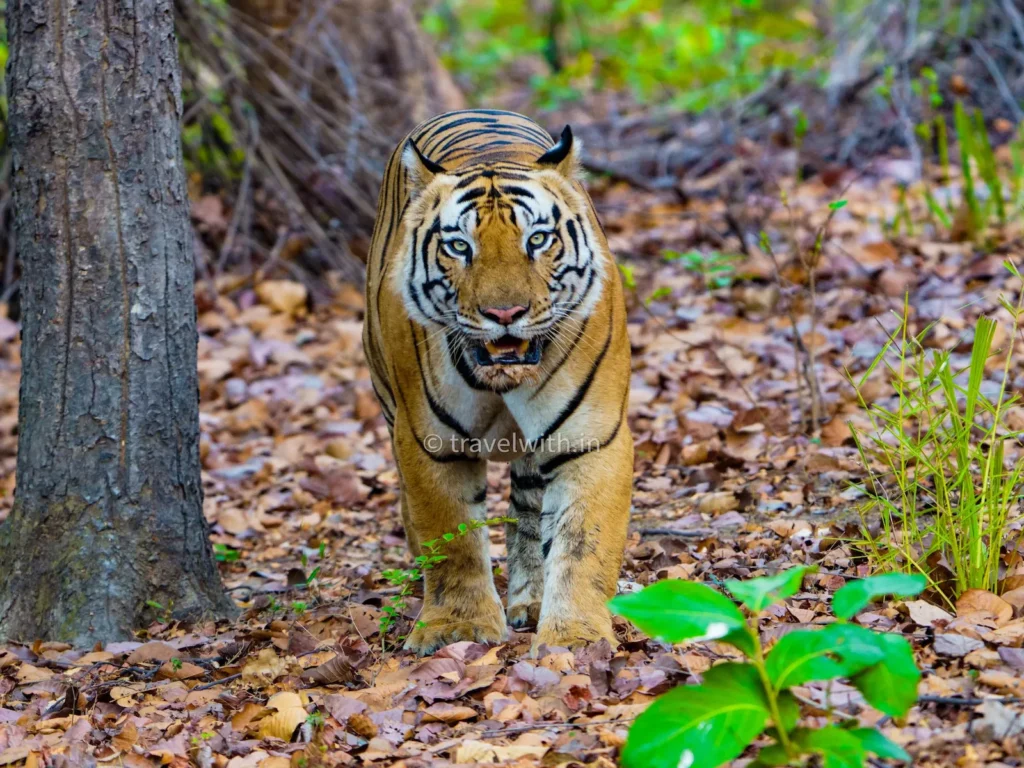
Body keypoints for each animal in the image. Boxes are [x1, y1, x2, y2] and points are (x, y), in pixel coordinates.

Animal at [363, 109, 632, 655]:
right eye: (459, 247)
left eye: (538, 240)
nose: (505, 313)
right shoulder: (430, 441)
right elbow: (451, 538)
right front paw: (456, 626)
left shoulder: (591, 437)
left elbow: (583, 544)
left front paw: (575, 638)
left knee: (529, 509)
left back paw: (531, 599)